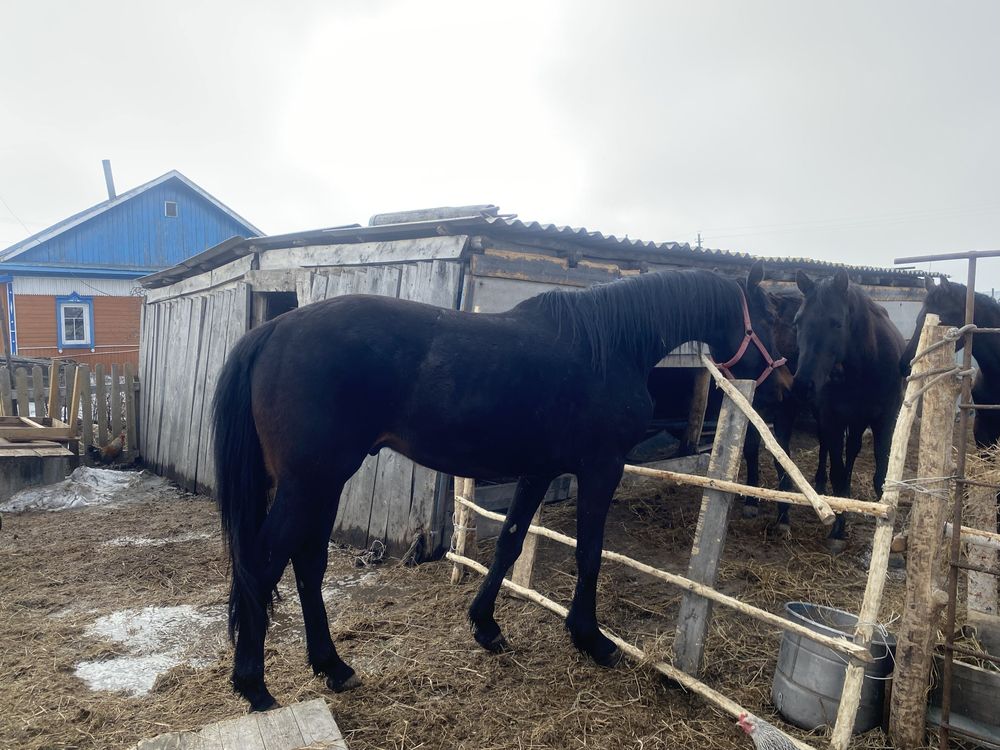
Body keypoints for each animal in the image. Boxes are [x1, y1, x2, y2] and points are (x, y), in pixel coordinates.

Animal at [213, 262, 788, 712]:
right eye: (773, 316)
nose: (784, 383)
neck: (608, 346)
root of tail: (273, 331)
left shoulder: (537, 470)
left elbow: (509, 542)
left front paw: (485, 626)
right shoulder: (601, 467)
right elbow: (590, 552)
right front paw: (591, 639)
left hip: (322, 483)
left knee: (307, 564)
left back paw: (333, 666)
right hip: (309, 482)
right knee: (263, 564)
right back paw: (255, 687)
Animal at [788, 268, 908, 548]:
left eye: (836, 323)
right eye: (798, 322)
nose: (803, 385)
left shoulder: (885, 420)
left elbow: (881, 476)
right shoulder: (831, 419)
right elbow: (837, 472)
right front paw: (838, 530)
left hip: (858, 420)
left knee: (852, 449)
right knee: (827, 448)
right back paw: (821, 482)